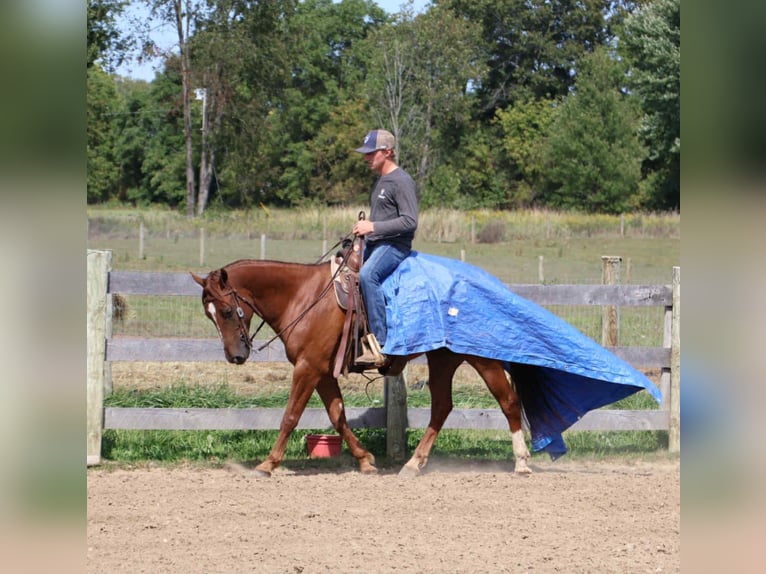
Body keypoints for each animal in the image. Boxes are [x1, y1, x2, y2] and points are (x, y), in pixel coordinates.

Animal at [191, 257, 532, 478]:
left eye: (226, 310)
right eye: (208, 314)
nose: (236, 356)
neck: (303, 297)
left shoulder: (307, 368)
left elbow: (290, 416)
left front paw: (268, 464)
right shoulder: (322, 371)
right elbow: (337, 415)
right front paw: (365, 459)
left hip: (482, 358)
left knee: (508, 401)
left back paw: (522, 462)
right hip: (443, 360)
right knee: (442, 407)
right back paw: (413, 464)